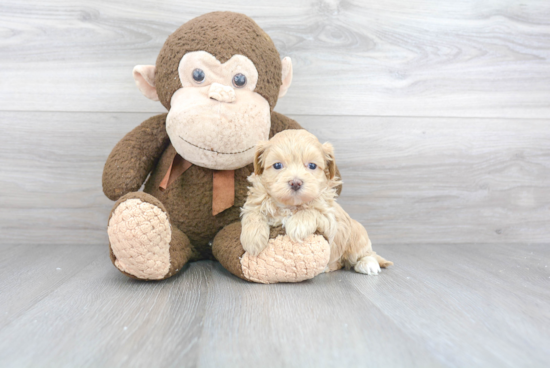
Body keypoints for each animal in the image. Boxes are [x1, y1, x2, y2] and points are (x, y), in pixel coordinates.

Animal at [240, 130, 392, 276]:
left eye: (312, 165)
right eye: (277, 165)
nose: (295, 183)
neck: (290, 205)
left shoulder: (330, 218)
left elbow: (311, 211)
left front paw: (297, 225)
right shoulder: (253, 203)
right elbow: (253, 214)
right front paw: (252, 240)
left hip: (357, 236)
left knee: (366, 254)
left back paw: (368, 264)